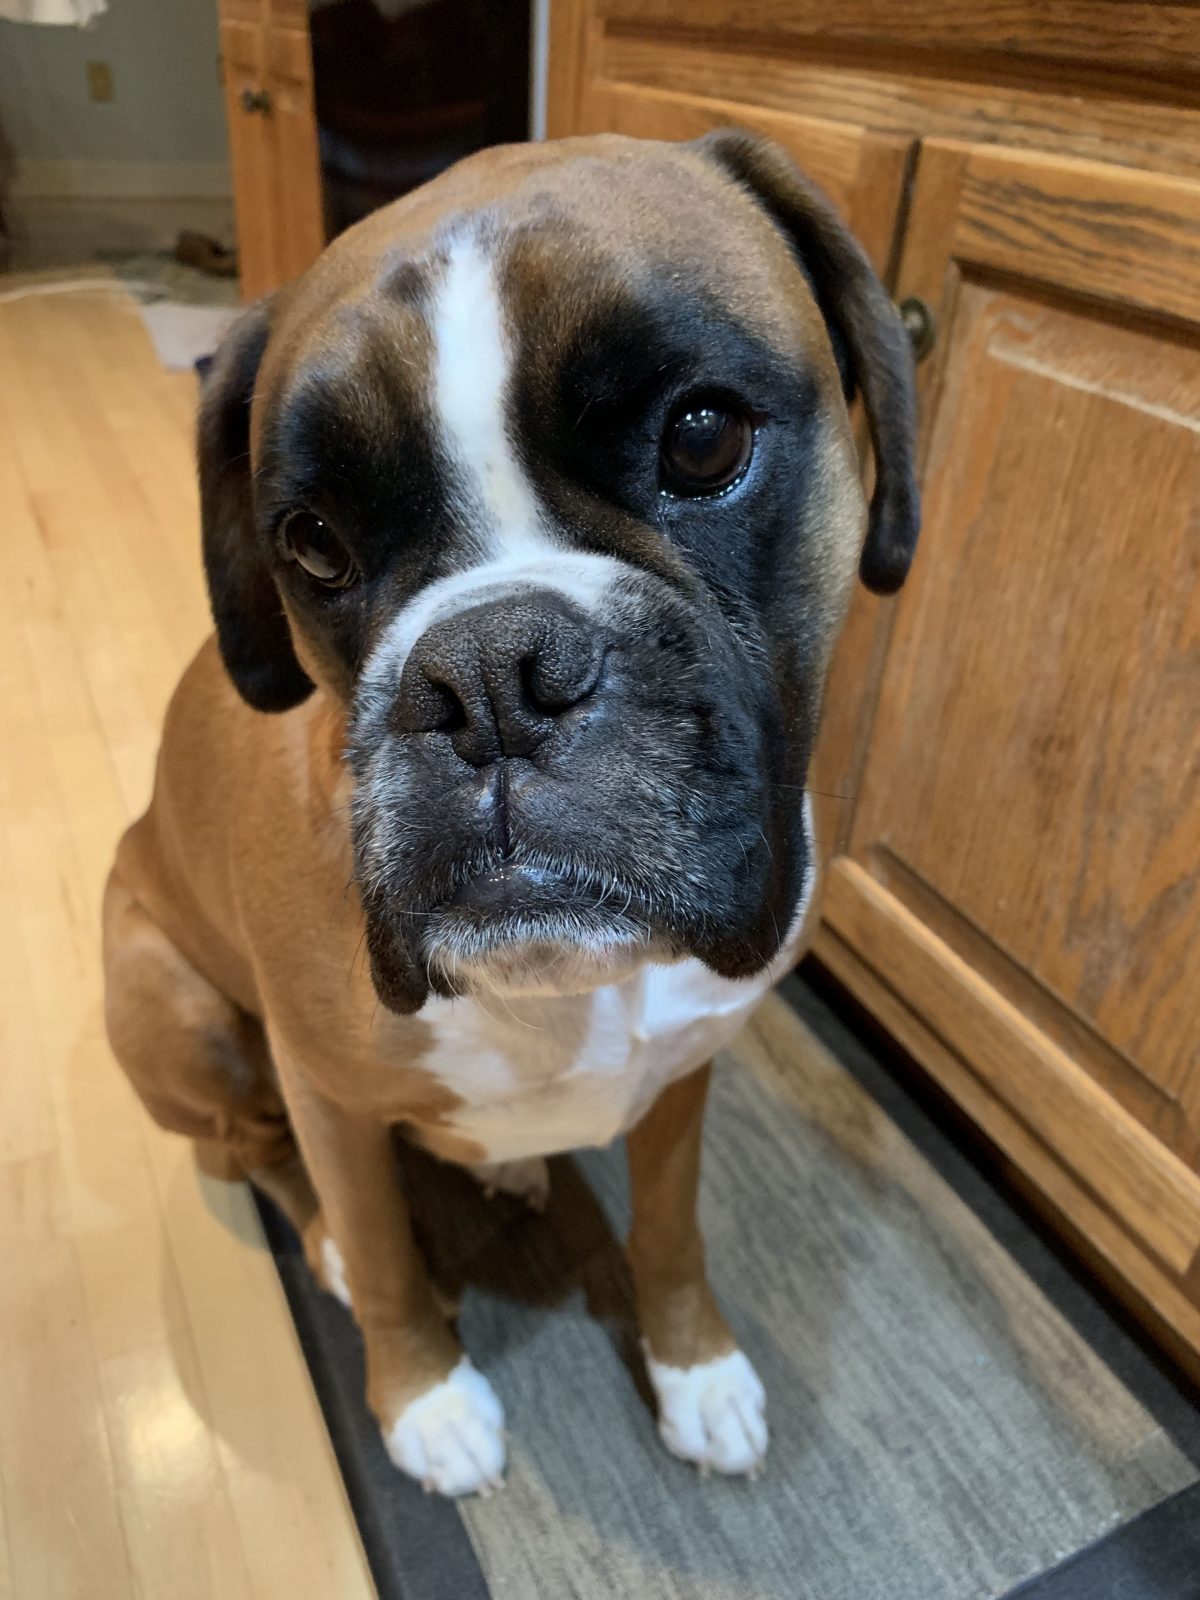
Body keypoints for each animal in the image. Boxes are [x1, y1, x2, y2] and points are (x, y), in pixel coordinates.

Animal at [103, 130, 918, 1497]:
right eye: (311, 543)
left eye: (704, 438)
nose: (487, 671)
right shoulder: (326, 1090)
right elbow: (382, 1247)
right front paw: (425, 1397)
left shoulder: (684, 1073)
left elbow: (674, 1229)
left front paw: (693, 1365)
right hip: (172, 1007)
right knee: (256, 1152)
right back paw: (333, 1245)